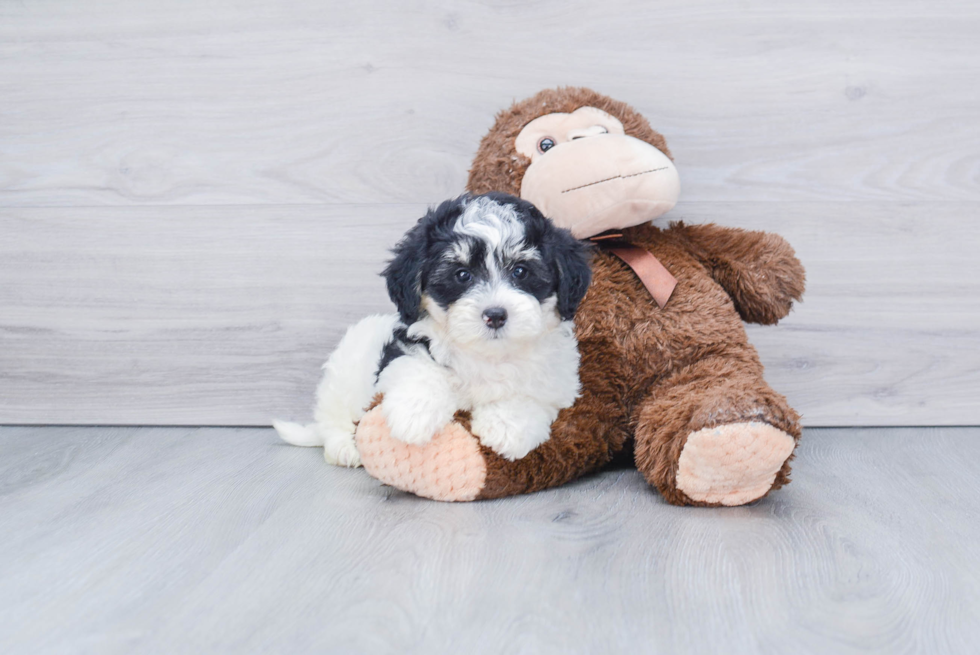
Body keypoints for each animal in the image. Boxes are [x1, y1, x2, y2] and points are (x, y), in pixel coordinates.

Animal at [276, 193, 592, 466]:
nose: (495, 315)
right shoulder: (409, 344)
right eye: (462, 275)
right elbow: (420, 370)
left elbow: (530, 394)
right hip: (345, 370)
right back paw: (345, 447)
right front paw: (414, 414)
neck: (486, 353)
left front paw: (507, 427)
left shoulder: (557, 378)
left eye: (520, 272)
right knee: (333, 417)